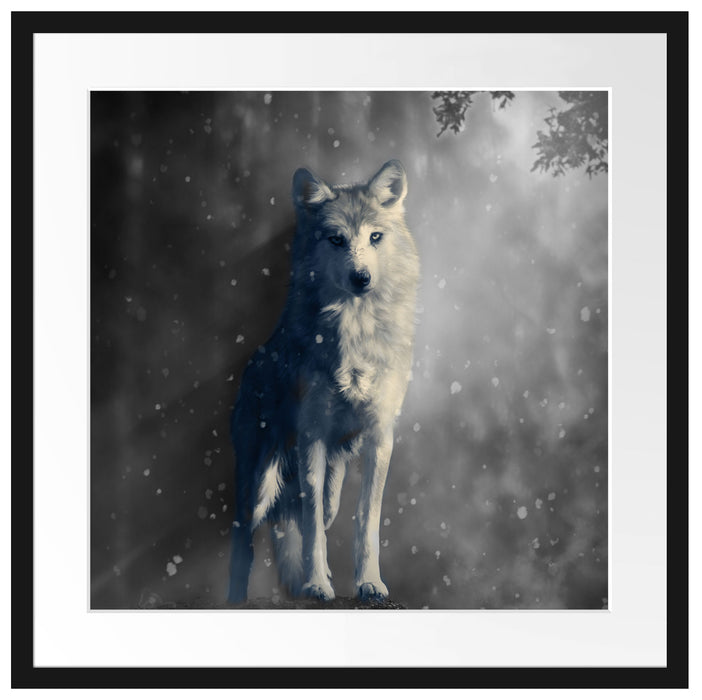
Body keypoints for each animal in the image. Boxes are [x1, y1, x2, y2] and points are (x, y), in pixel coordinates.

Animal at [227, 160, 420, 603]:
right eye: (336, 239)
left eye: (375, 237)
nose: (361, 277)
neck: (356, 331)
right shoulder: (311, 435)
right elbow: (312, 524)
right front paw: (317, 585)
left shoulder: (380, 436)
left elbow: (366, 519)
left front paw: (370, 583)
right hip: (257, 487)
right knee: (246, 539)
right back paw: (238, 598)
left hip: (329, 479)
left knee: (308, 516)